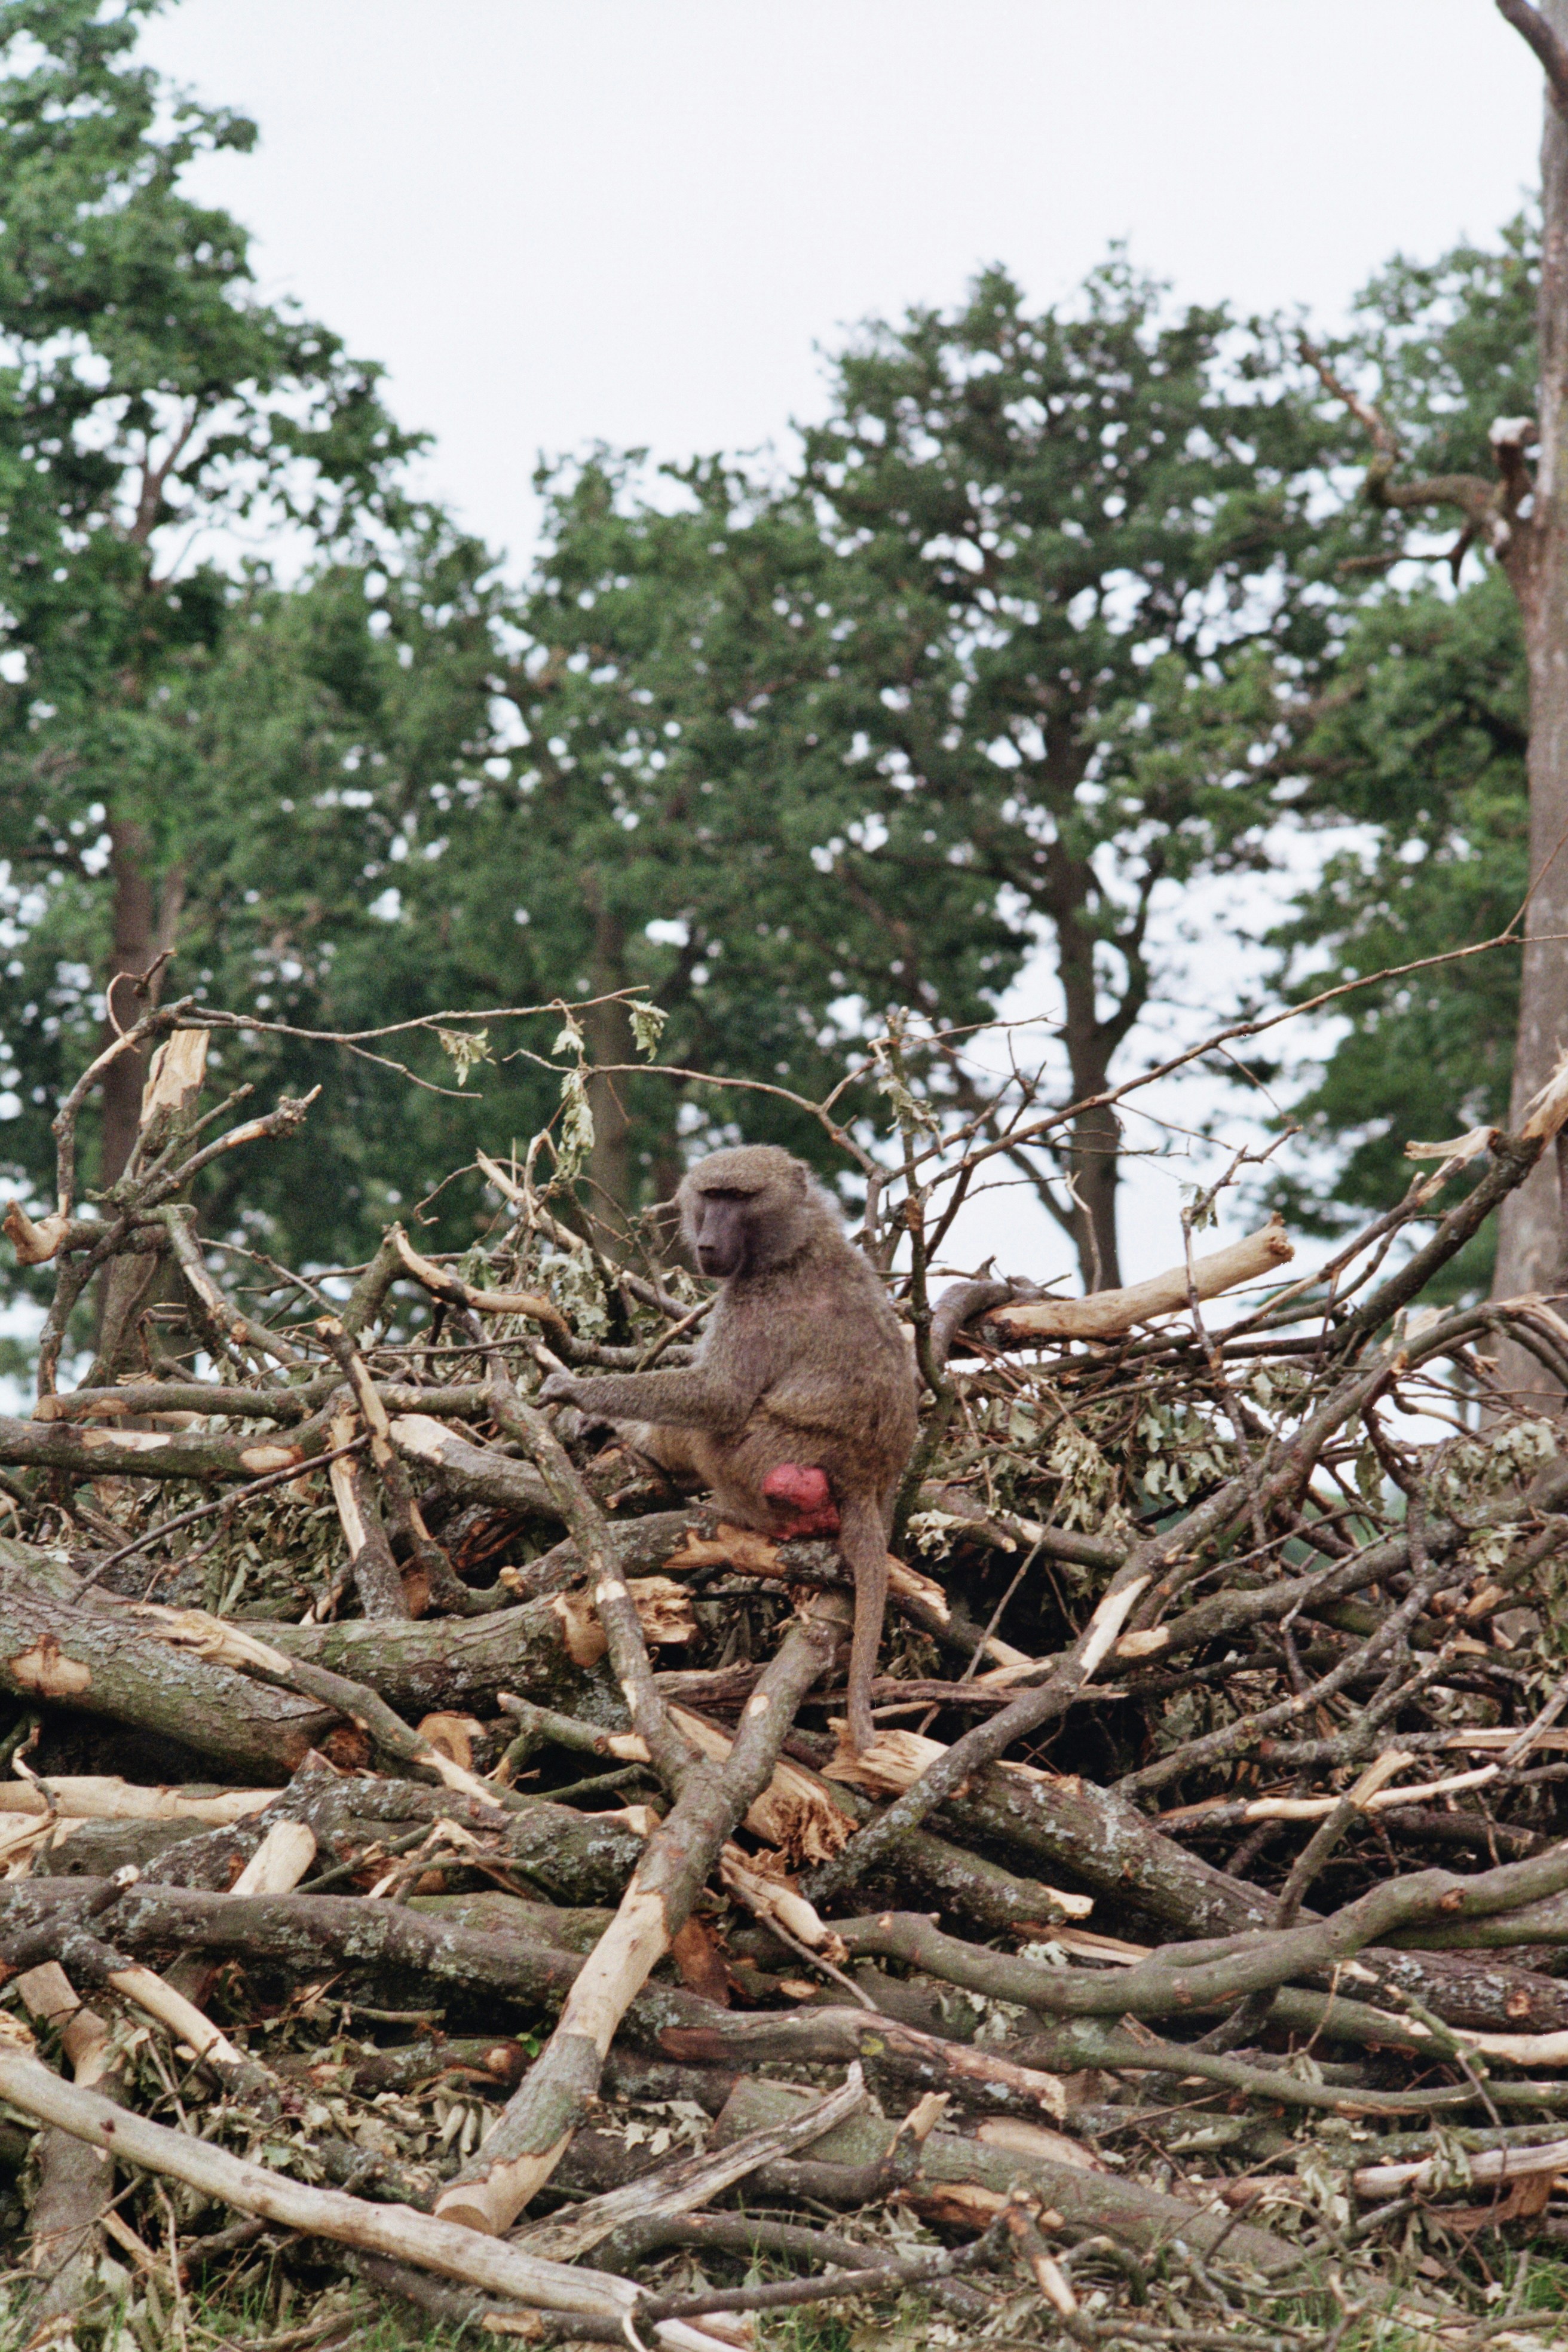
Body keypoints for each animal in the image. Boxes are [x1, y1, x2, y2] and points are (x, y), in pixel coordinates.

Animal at [538, 1144, 919, 1753]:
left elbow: (718, 1396)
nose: (709, 1242)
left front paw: (582, 1394)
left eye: (739, 1199)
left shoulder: (756, 1302)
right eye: (712, 1197)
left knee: (713, 1430)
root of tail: (864, 1478)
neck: (799, 1239)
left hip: (766, 1454)